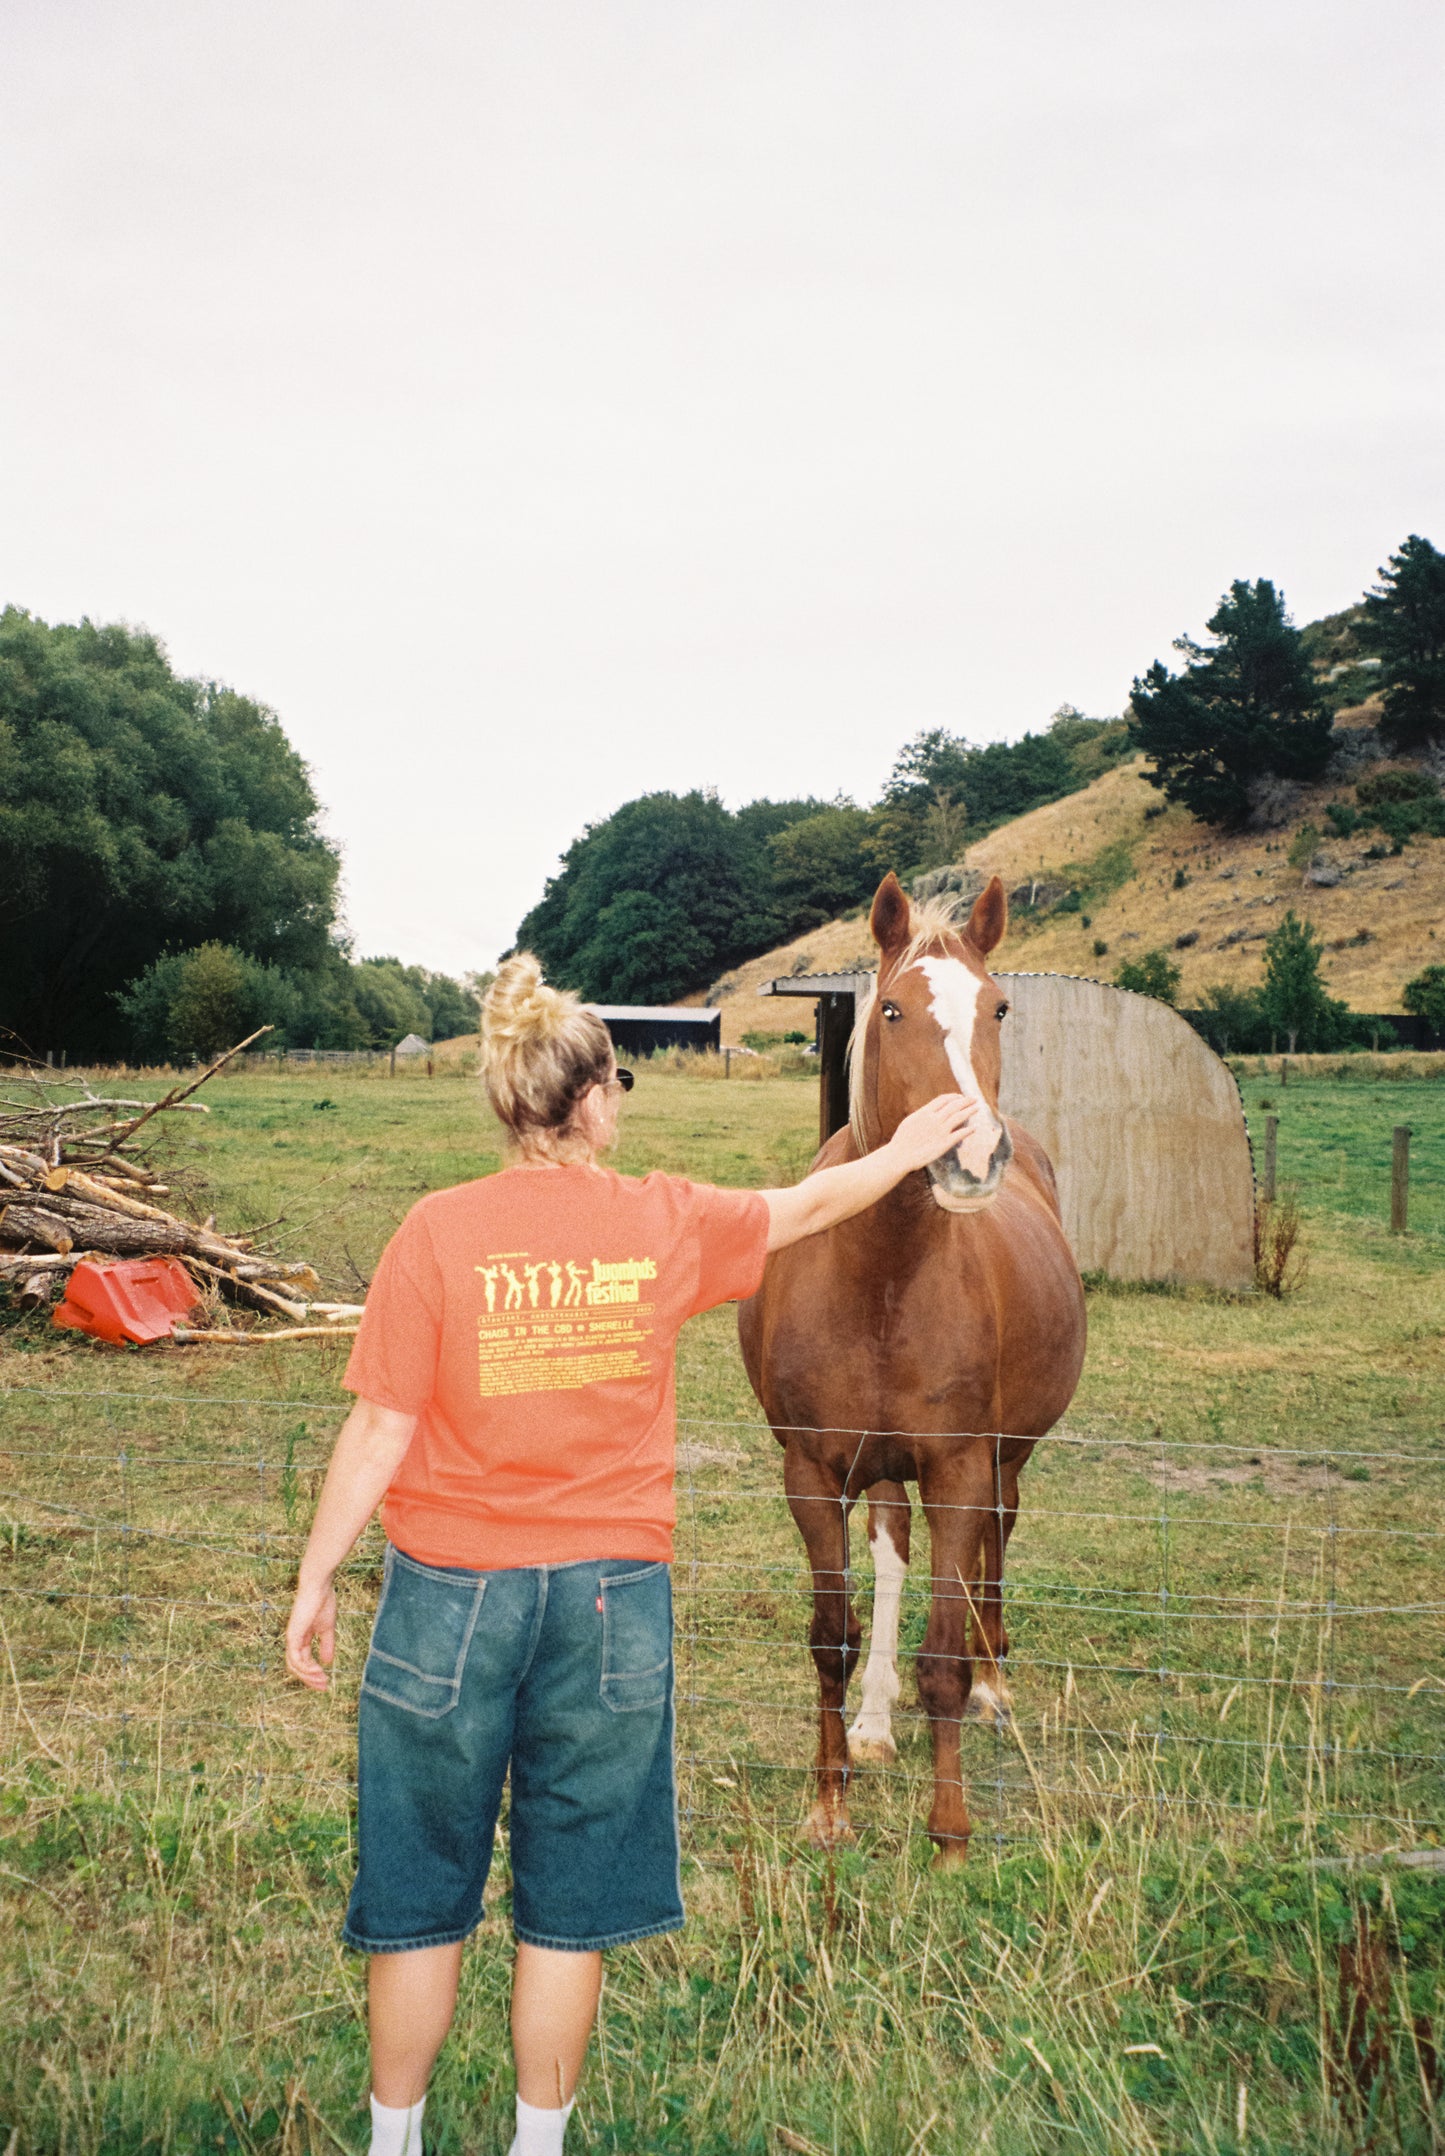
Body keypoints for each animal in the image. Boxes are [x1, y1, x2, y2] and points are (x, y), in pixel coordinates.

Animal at [746, 866, 1086, 1862]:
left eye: (1000, 1007)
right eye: (891, 1011)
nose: (970, 1156)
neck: (882, 1275)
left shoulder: (958, 1467)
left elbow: (942, 1651)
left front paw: (950, 1831)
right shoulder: (813, 1472)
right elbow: (832, 1635)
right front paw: (829, 1801)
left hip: (1003, 1458)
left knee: (996, 1545)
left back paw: (993, 1682)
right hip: (884, 1471)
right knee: (893, 1559)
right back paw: (874, 1720)